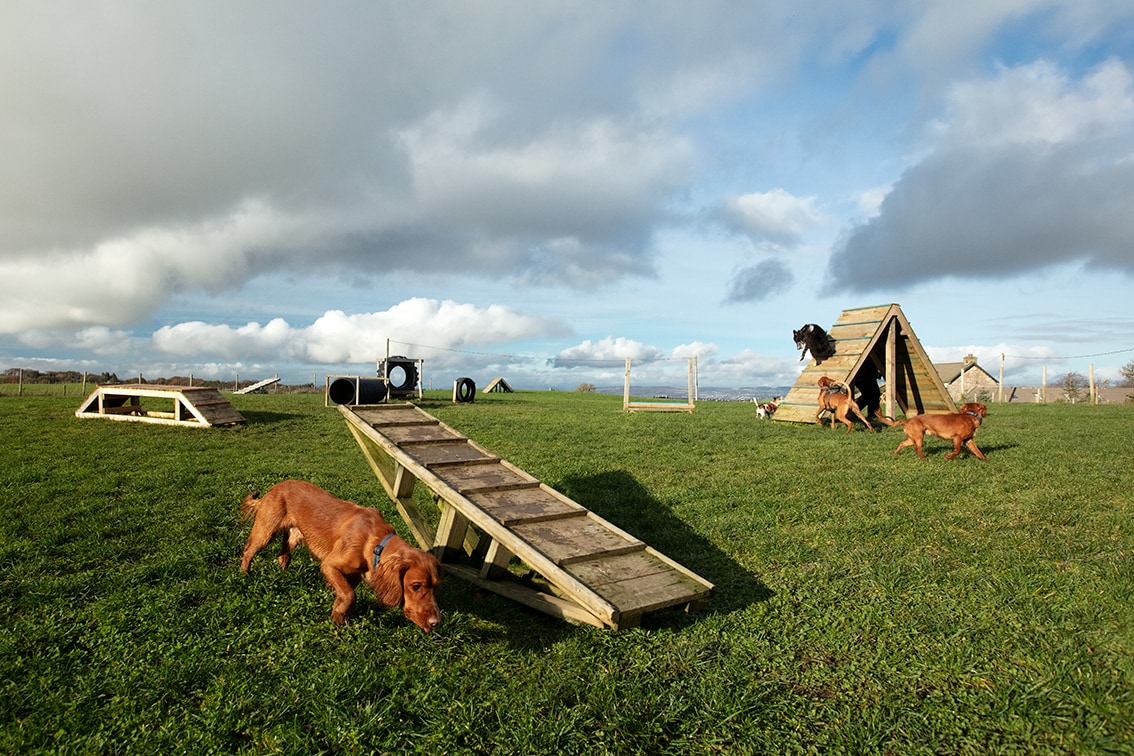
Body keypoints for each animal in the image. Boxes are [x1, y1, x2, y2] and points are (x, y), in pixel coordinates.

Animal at [241, 478, 439, 634]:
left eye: (436, 586)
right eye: (416, 586)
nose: (436, 623)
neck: (376, 542)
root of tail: (275, 487)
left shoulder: (354, 575)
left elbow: (346, 595)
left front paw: (338, 616)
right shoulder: (330, 565)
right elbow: (350, 595)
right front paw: (338, 618)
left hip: (294, 535)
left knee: (283, 551)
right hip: (266, 532)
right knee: (248, 550)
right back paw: (244, 574)